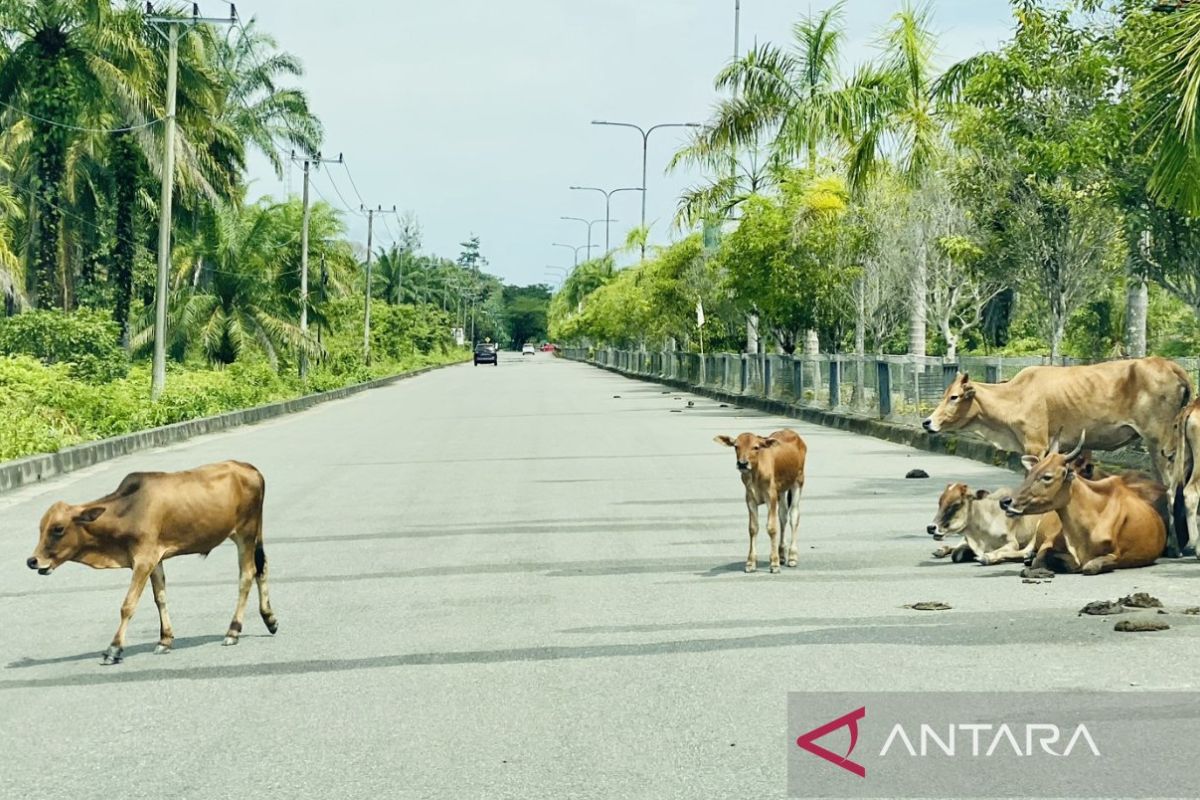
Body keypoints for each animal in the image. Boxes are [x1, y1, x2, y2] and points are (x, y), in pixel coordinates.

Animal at [28, 460, 276, 666]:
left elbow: (128, 605)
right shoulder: (155, 559)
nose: (33, 561)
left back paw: (233, 632)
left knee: (247, 574)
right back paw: (270, 619)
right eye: (40, 528)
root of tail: (250, 469)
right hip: (254, 534)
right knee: (262, 568)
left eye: (58, 529)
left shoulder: (143, 560)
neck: (129, 511)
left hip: (245, 533)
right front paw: (165, 640)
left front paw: (114, 649)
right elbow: (160, 598)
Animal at [710, 429, 806, 573]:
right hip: (782, 490)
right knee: (783, 516)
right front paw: (750, 563)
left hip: (798, 481)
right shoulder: (750, 499)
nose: (742, 463)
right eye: (736, 446)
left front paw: (774, 563)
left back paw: (792, 557)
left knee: (794, 516)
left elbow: (771, 528)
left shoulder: (771, 497)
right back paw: (782, 554)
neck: (756, 474)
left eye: (756, 447)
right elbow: (753, 528)